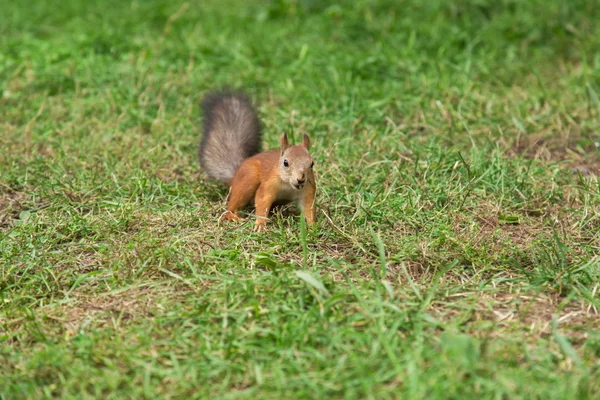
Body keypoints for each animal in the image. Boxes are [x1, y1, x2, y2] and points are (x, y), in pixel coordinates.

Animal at [199, 89, 316, 230]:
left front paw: (313, 226)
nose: (301, 179)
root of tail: (235, 175)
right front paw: (260, 224)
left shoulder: (308, 190)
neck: (288, 185)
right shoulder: (268, 184)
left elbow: (309, 208)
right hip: (247, 180)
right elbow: (262, 200)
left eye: (312, 164)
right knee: (234, 203)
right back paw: (231, 216)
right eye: (285, 162)